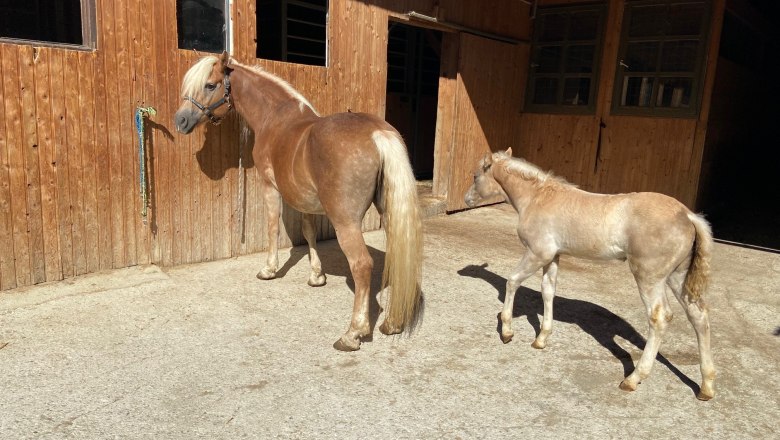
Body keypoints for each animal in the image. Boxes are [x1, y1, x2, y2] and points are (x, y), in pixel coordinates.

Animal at [175, 52, 426, 350]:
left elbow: (273, 227)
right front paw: (316, 276)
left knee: (362, 266)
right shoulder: (307, 199)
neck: (275, 117)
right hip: (388, 213)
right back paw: (393, 323)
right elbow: (309, 233)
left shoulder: (270, 187)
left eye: (210, 85)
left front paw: (269, 269)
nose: (180, 120)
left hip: (346, 222)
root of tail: (378, 134)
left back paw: (353, 333)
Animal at [466, 150, 716, 400]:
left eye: (476, 176)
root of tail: (688, 215)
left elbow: (512, 281)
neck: (537, 198)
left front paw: (507, 331)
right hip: (676, 276)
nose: (467, 199)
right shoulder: (553, 257)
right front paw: (541, 339)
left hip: (648, 277)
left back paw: (633, 378)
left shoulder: (538, 253)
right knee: (698, 315)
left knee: (659, 317)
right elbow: (548, 291)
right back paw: (706, 386)